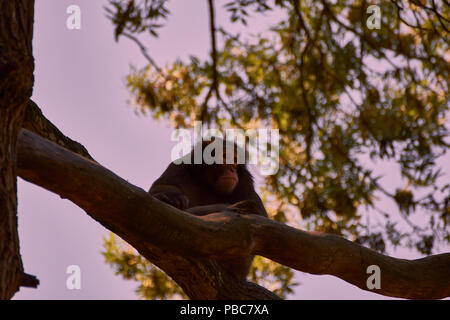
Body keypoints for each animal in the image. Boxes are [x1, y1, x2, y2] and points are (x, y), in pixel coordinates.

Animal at [149, 139, 268, 278]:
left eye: (234, 160)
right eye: (224, 156)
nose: (232, 169)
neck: (208, 182)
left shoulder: (245, 179)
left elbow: (259, 217)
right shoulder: (179, 166)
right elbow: (160, 188)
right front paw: (171, 196)